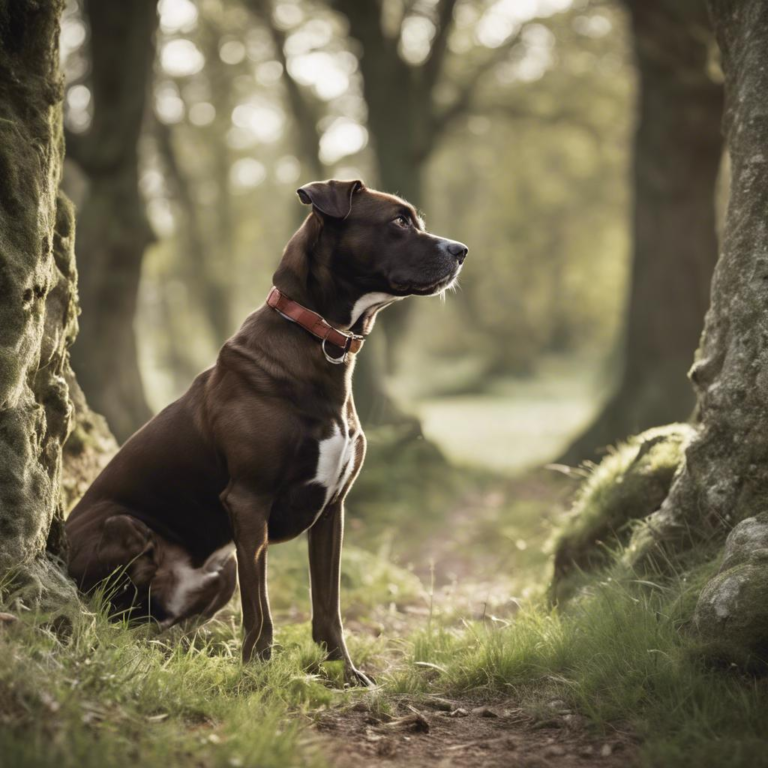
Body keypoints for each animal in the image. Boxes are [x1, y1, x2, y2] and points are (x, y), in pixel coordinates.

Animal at [69, 182, 468, 684]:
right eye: (398, 222)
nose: (462, 251)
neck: (319, 338)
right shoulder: (248, 502)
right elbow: (260, 611)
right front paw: (256, 674)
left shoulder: (332, 510)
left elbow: (328, 606)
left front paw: (343, 672)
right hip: (126, 527)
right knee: (115, 611)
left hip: (219, 569)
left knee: (163, 624)